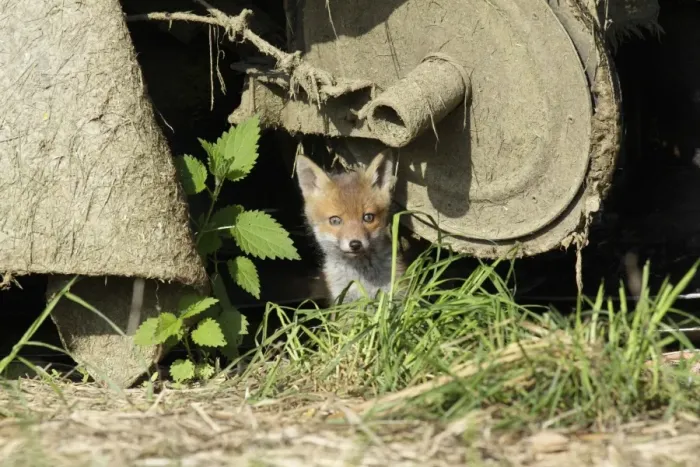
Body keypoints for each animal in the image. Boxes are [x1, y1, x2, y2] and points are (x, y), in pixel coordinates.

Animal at [295, 150, 406, 303]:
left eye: (368, 217)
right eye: (335, 220)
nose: (355, 244)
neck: (362, 280)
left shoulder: (394, 294)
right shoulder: (342, 300)